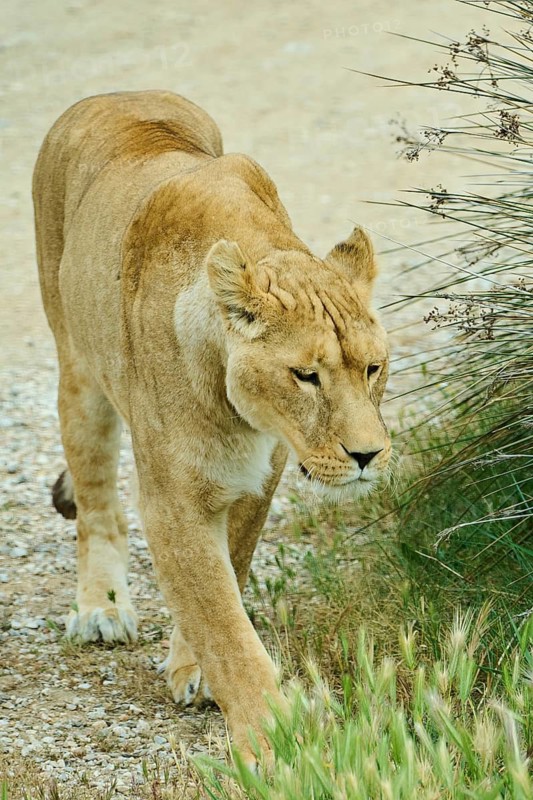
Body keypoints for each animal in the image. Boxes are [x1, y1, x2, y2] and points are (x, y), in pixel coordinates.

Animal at [33, 90, 391, 765]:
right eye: (306, 375)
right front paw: (277, 741)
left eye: (373, 367)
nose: (368, 456)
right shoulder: (172, 500)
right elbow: (224, 623)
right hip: (79, 370)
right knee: (96, 502)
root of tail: (114, 94)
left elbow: (228, 572)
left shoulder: (259, 474)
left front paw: (191, 667)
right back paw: (100, 609)